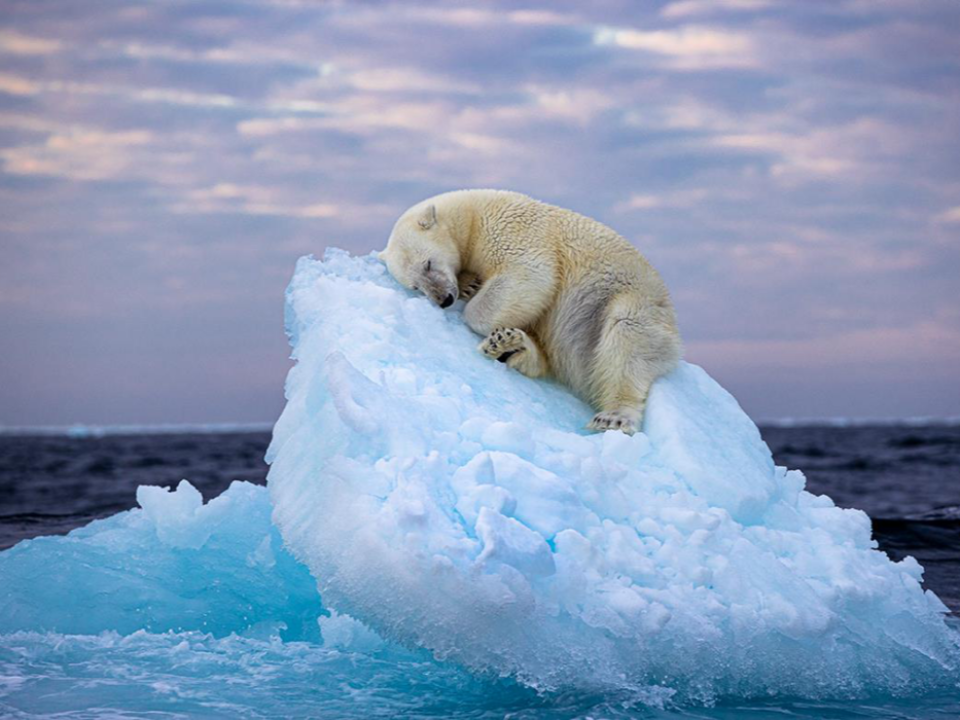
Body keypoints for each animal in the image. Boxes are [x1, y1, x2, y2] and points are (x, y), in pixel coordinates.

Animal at [380, 188, 684, 434]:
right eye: (415, 286)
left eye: (428, 263)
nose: (443, 299)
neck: (472, 215)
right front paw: (470, 284)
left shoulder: (511, 230)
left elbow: (530, 274)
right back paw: (510, 346)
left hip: (627, 300)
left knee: (626, 338)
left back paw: (614, 416)